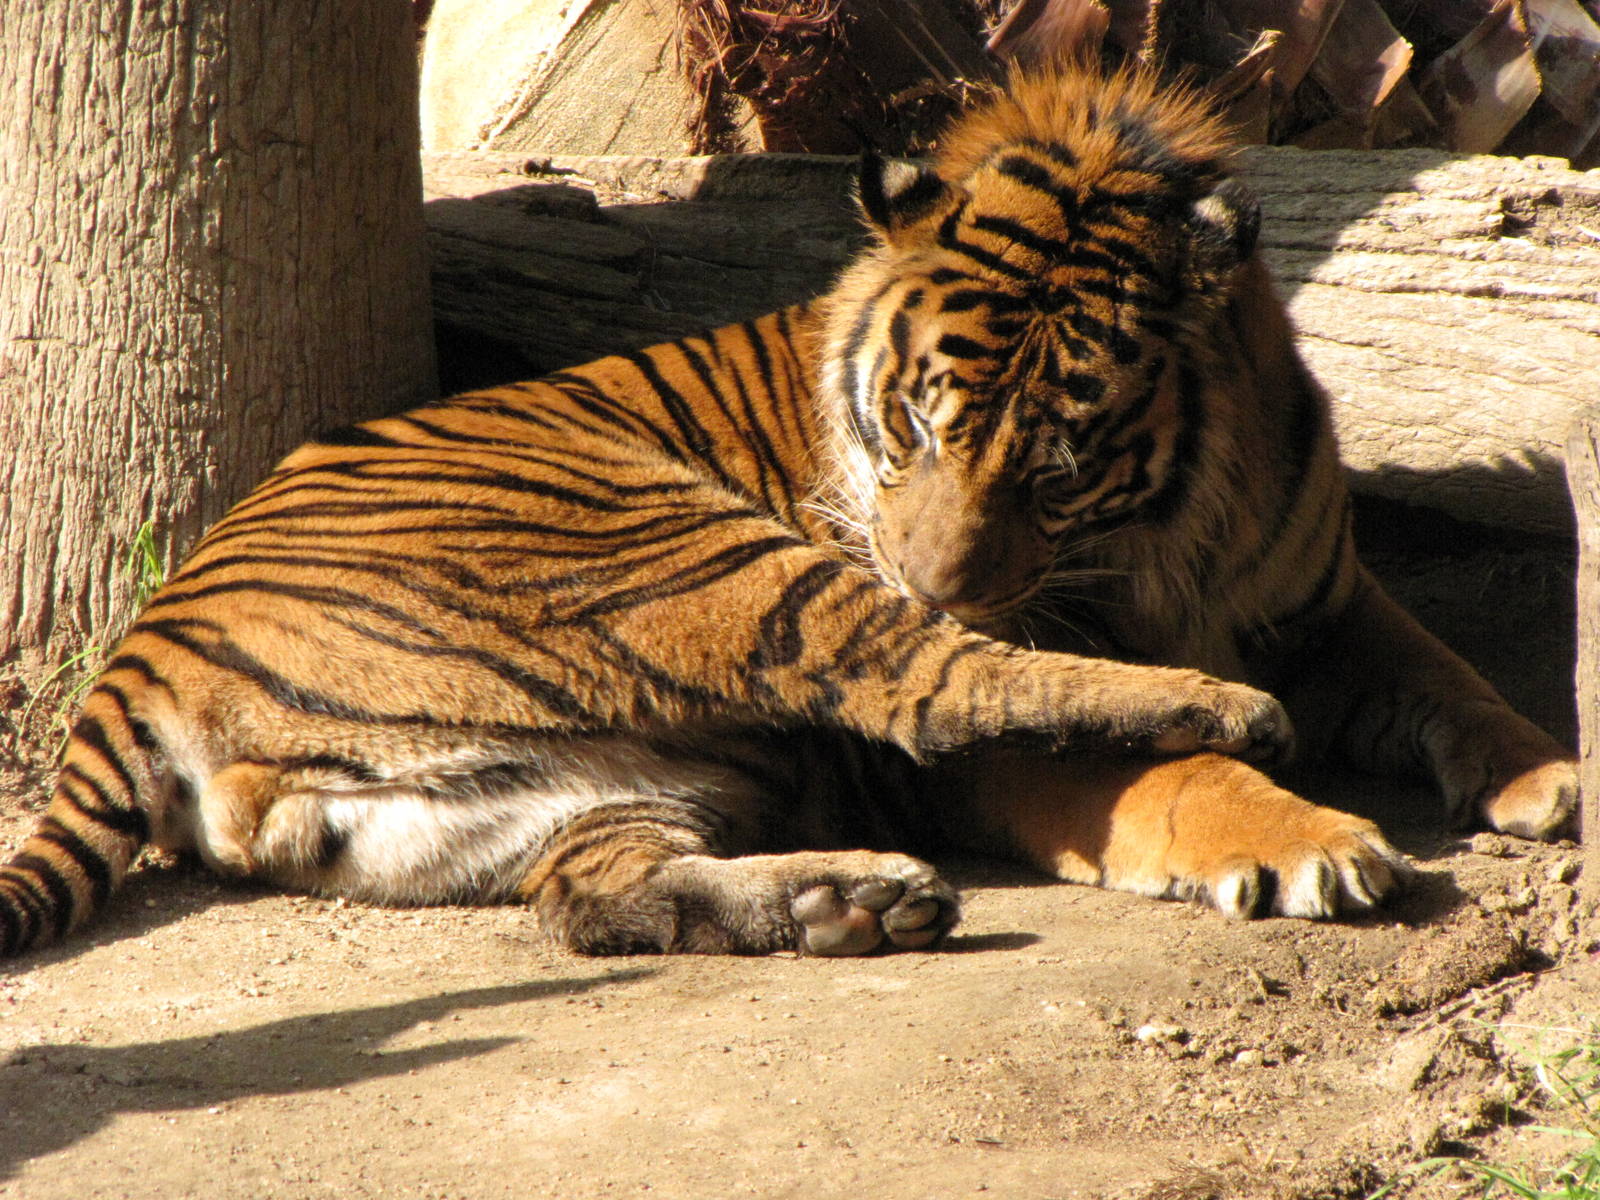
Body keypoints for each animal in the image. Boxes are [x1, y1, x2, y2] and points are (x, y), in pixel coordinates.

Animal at [0, 65, 1577, 961]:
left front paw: (1548, 778)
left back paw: (849, 905)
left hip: (562, 795)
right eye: (916, 423)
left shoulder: (1328, 593)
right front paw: (1303, 836)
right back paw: (1210, 710)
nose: (932, 576)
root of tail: (142, 648)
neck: (1177, 532)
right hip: (691, 558)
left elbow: (1445, 671)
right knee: (940, 685)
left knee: (592, 898)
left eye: (1057, 461)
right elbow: (1144, 776)